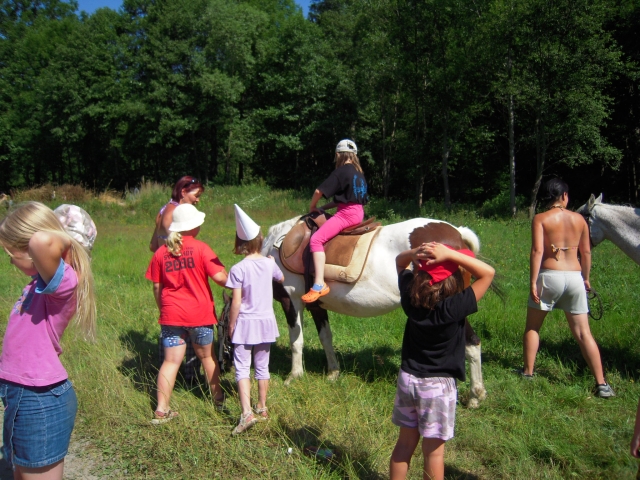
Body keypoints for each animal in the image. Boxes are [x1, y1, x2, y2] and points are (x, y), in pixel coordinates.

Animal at [259, 216, 490, 408]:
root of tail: (457, 234)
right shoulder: (316, 306)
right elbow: (326, 338)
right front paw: (333, 373)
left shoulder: (291, 301)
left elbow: (296, 341)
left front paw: (294, 376)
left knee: (472, 343)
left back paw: (475, 396)